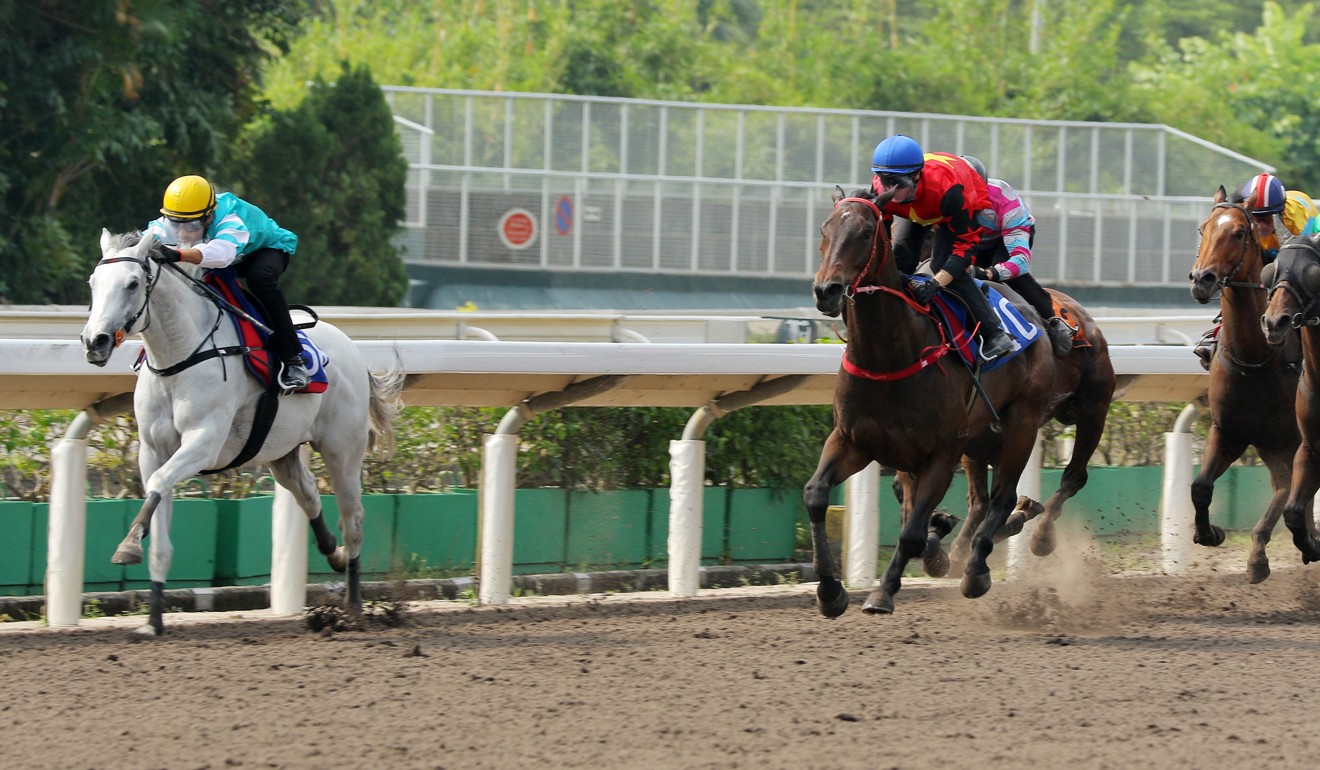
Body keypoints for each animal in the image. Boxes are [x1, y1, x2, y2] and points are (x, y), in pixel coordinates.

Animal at [81, 231, 401, 639]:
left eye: (133, 283)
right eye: (93, 283)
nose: (95, 342)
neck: (180, 358)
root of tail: (353, 350)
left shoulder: (204, 442)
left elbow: (159, 482)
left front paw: (127, 546)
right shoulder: (153, 449)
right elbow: (157, 500)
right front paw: (152, 620)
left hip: (342, 448)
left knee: (354, 518)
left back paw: (356, 605)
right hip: (281, 451)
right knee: (308, 493)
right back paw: (333, 551)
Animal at [802, 183, 1050, 618]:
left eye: (866, 232)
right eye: (824, 229)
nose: (826, 291)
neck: (889, 356)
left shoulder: (942, 453)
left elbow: (912, 533)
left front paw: (882, 593)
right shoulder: (852, 440)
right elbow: (816, 495)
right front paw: (830, 590)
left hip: (1020, 424)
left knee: (1002, 498)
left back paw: (977, 569)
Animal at [950, 286, 1114, 570]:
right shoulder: (973, 440)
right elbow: (980, 499)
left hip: (1094, 409)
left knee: (1074, 476)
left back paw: (1041, 535)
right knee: (984, 500)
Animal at [1193, 188, 1304, 583]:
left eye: (1239, 233)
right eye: (1203, 228)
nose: (1202, 279)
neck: (1259, 357)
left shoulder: (1295, 439)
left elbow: (1290, 493)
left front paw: (1258, 557)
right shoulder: (1229, 430)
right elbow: (1200, 487)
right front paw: (1209, 533)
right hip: (1269, 444)